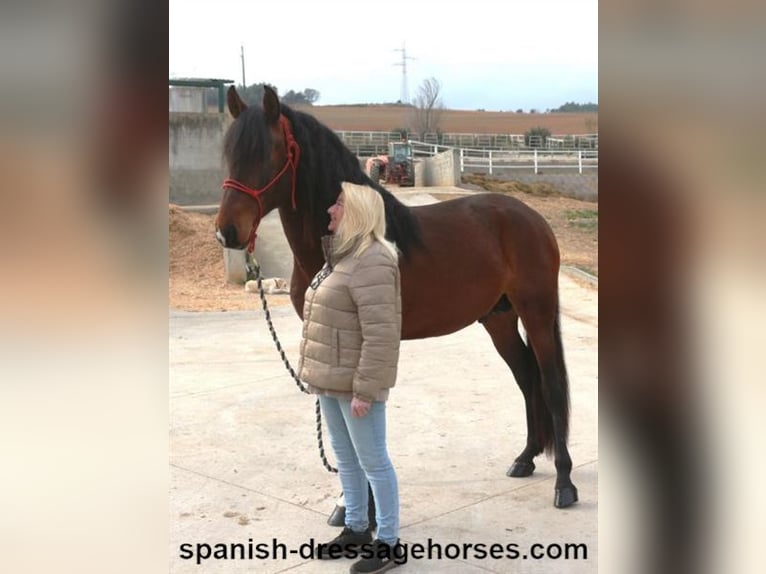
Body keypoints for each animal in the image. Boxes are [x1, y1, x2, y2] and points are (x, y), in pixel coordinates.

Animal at [213, 85, 580, 508]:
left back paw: (564, 483)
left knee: (550, 382)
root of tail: (532, 218)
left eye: (268, 153)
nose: (227, 231)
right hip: (499, 318)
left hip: (537, 312)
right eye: (230, 153)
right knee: (526, 376)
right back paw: (525, 459)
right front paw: (349, 508)